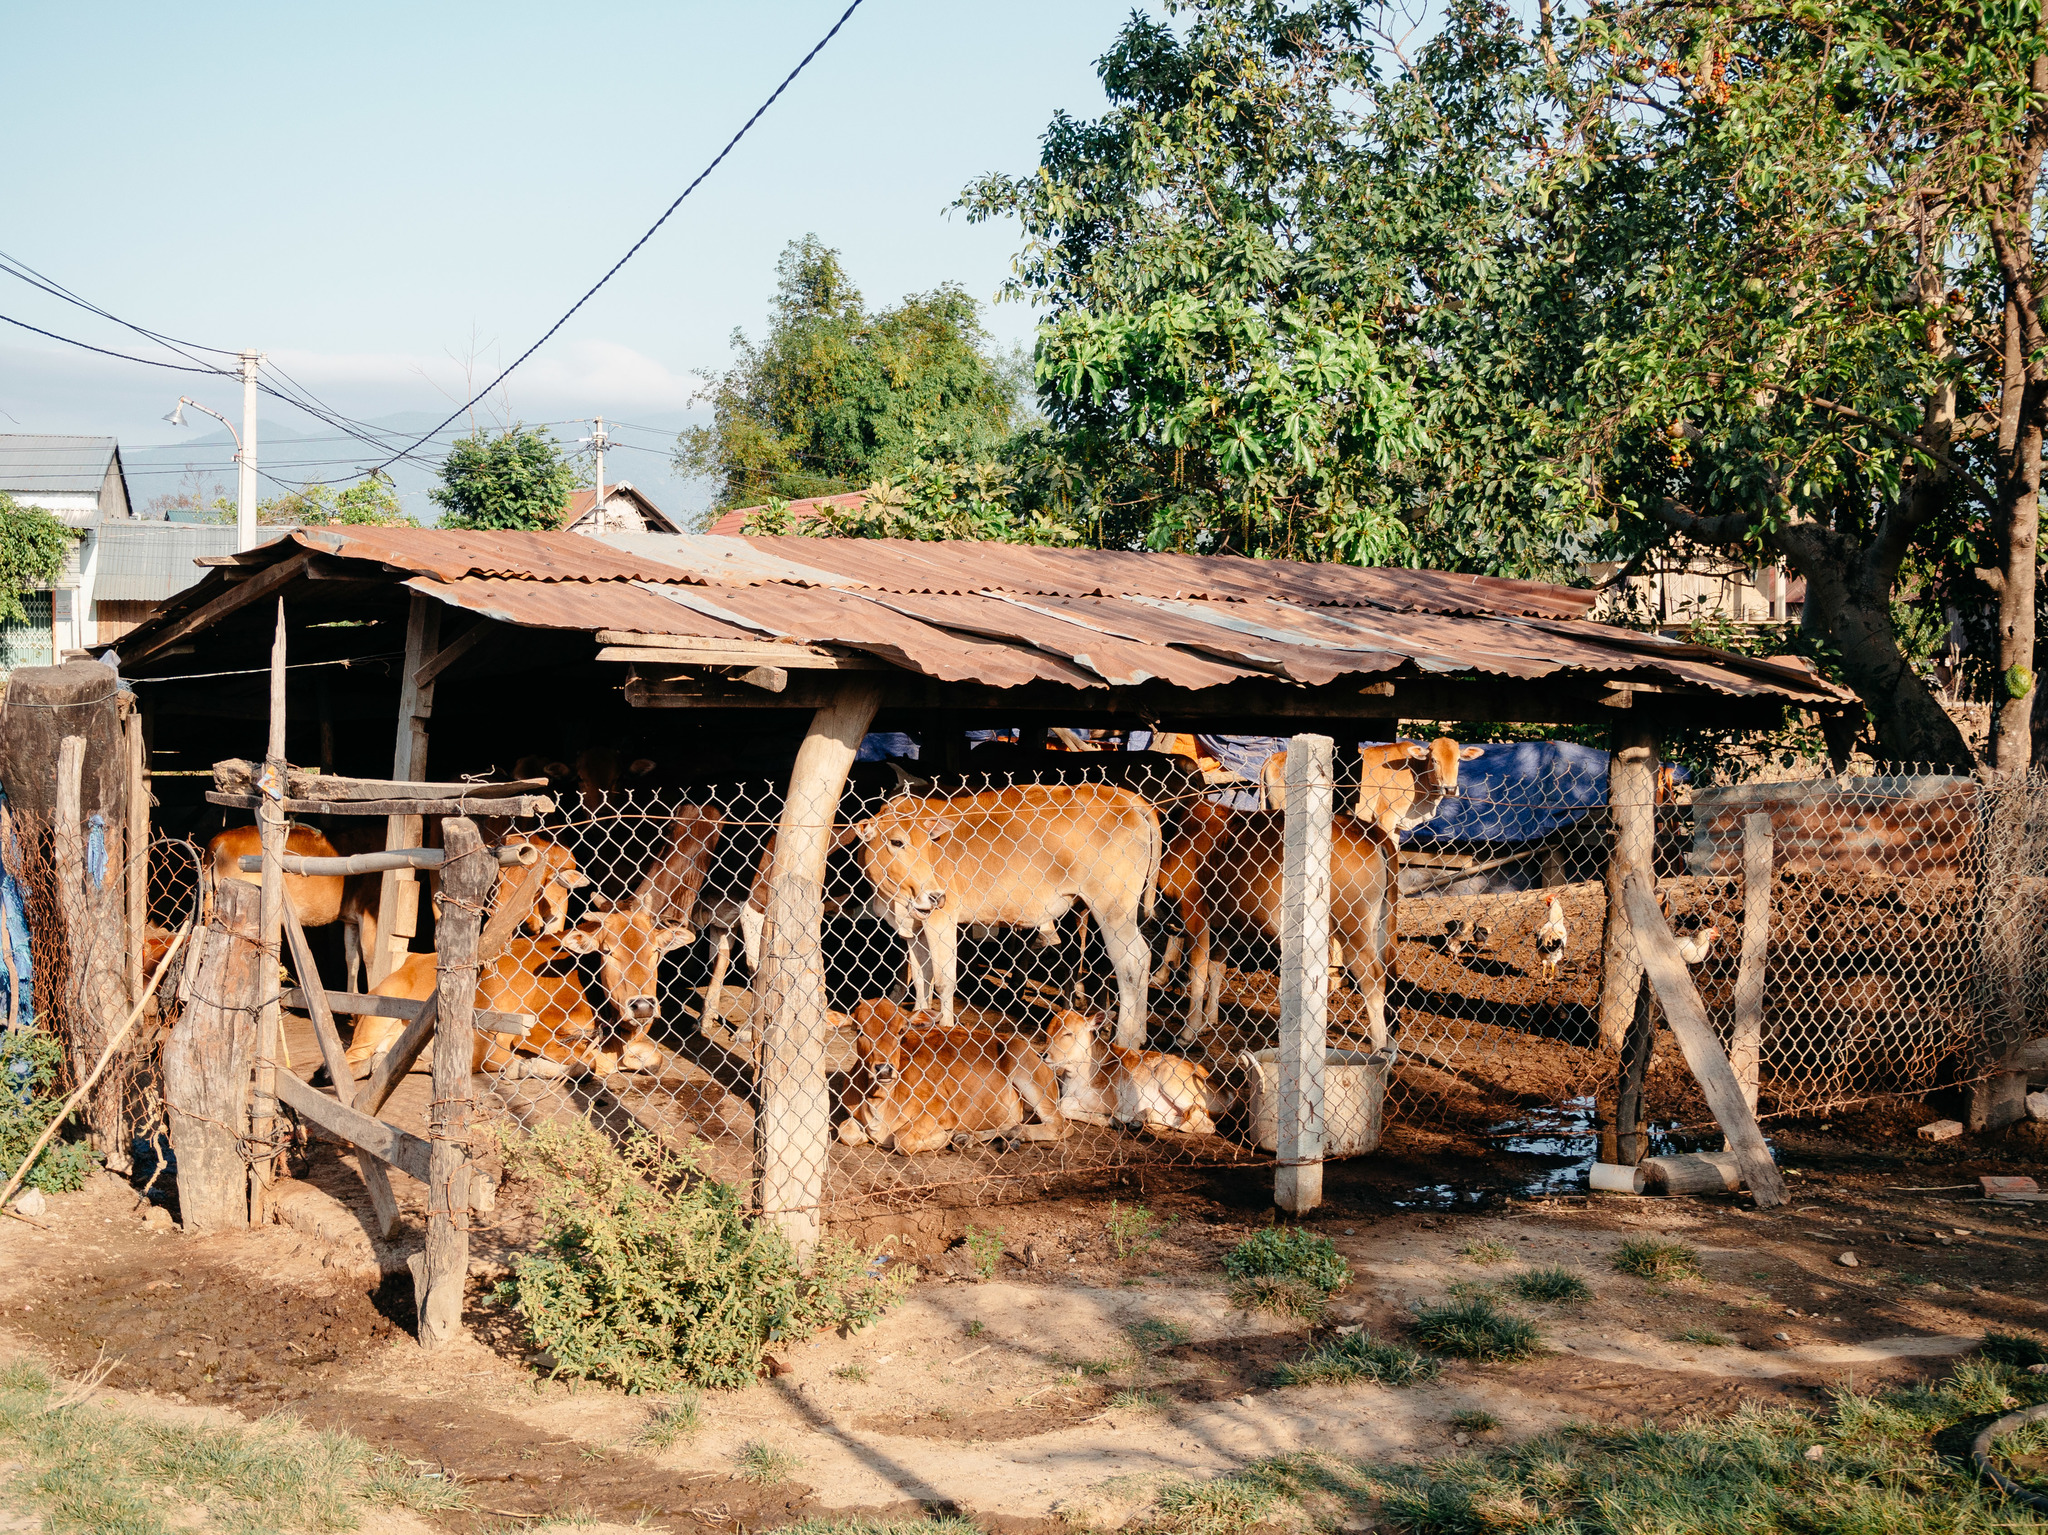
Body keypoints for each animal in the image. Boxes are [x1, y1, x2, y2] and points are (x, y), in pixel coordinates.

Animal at [827, 1002, 1064, 1162]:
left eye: (901, 1030)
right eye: (859, 1031)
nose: (884, 1068)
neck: (879, 1102)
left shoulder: (941, 1108)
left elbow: (902, 1140)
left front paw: (945, 1136)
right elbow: (845, 1131)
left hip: (1028, 1075)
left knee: (1059, 1126)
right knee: (1010, 1121)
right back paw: (970, 1138)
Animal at [1048, 1011, 1220, 1146]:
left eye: (1068, 1033)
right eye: (1048, 1032)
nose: (1045, 1055)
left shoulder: (1108, 1100)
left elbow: (1062, 1105)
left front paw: (1106, 1120)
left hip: (1172, 1081)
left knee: (1205, 1123)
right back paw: (1137, 1121)